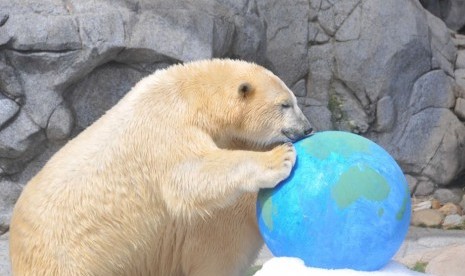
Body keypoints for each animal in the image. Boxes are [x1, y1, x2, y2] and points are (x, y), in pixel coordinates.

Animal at [10, 59, 312, 274]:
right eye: (285, 104)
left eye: (294, 100)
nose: (307, 128)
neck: (190, 94)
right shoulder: (165, 127)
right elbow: (190, 174)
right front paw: (280, 158)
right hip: (67, 257)